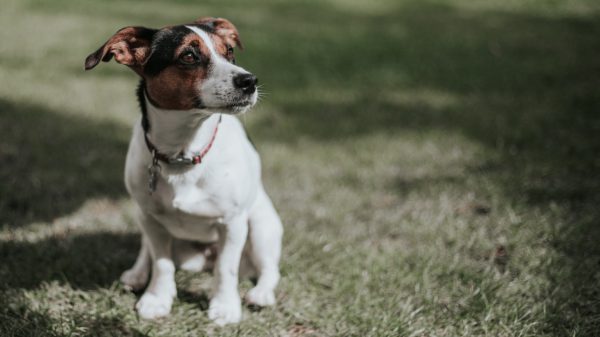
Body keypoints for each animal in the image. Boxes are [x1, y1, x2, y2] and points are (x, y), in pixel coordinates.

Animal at [84, 17, 284, 324]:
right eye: (189, 56)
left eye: (229, 51)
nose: (250, 81)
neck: (184, 152)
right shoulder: (152, 221)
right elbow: (162, 263)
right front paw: (157, 299)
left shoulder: (233, 223)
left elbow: (226, 269)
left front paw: (225, 306)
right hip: (144, 219)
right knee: (147, 252)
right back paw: (137, 273)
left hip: (262, 225)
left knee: (269, 270)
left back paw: (260, 294)